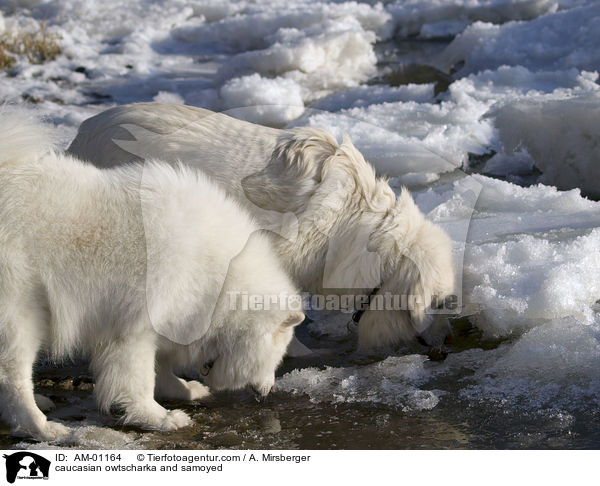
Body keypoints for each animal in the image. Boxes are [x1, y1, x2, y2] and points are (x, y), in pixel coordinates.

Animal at [0, 112, 302, 442]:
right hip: (21, 311)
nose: (268, 391)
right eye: (278, 353)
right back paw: (41, 426)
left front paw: (184, 390)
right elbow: (138, 378)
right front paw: (158, 417)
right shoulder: (134, 326)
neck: (221, 275)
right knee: (13, 374)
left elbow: (162, 367)